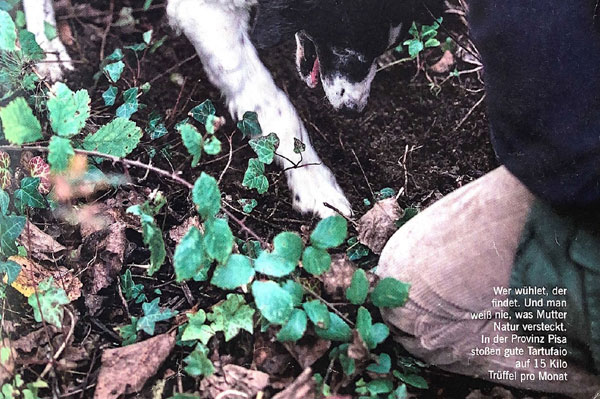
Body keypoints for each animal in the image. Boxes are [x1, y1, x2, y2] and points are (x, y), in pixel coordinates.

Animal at [27, 0, 440, 219]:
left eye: (385, 50)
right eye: (346, 50)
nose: (354, 109)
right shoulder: (204, 15)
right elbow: (272, 104)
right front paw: (313, 182)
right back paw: (45, 48)